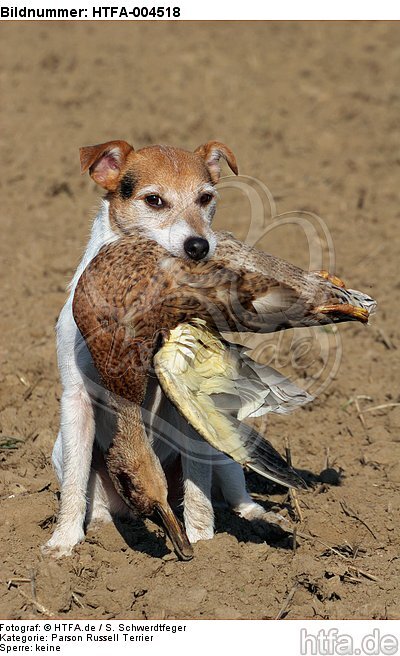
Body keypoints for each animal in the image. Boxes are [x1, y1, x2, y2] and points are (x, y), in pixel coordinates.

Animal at [43, 141, 282, 556]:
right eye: (153, 200)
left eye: (206, 198)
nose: (199, 246)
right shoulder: (76, 397)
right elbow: (75, 482)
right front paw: (64, 542)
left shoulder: (187, 401)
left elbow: (198, 487)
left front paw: (204, 542)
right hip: (63, 448)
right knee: (93, 490)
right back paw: (103, 524)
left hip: (221, 441)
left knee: (230, 483)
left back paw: (254, 516)